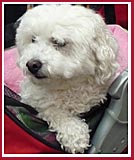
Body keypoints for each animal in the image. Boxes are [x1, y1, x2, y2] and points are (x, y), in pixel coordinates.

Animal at [15, 4, 118, 153]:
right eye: (33, 39)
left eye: (60, 43)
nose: (32, 64)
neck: (67, 87)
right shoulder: (35, 101)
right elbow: (55, 111)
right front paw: (75, 134)